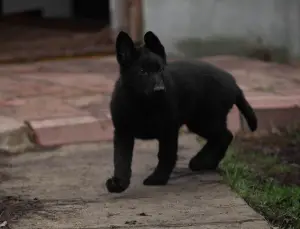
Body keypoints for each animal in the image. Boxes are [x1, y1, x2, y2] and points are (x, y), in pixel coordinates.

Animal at [105, 30, 255, 193]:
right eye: (142, 72)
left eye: (160, 69)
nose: (159, 90)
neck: (143, 104)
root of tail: (233, 83)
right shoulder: (123, 132)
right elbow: (121, 160)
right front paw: (119, 183)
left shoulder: (168, 130)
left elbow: (166, 155)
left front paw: (158, 178)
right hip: (199, 122)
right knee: (222, 136)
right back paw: (205, 163)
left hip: (204, 120)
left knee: (225, 135)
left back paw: (202, 161)